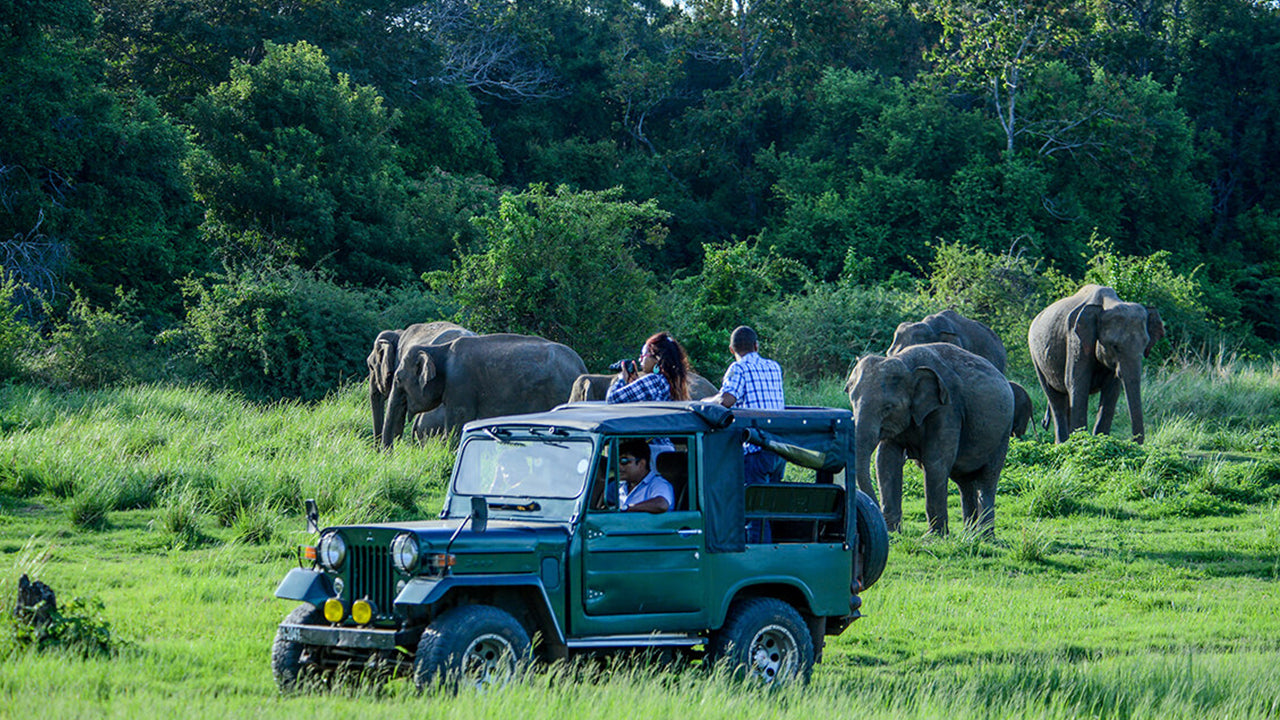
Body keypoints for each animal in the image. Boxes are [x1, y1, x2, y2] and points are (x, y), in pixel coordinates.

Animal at [373, 333, 586, 445]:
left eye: (398, 379)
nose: (388, 456)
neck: (440, 350)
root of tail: (580, 366)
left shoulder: (460, 386)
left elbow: (456, 426)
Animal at [844, 343, 1013, 538]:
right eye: (852, 400)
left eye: (888, 407)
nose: (875, 510)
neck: (906, 362)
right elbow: (886, 461)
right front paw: (893, 532)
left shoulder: (947, 408)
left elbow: (935, 463)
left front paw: (934, 537)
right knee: (964, 482)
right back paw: (969, 535)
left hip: (1003, 434)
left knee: (987, 480)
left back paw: (984, 537)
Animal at [1024, 281, 1167, 440]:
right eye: (1114, 346)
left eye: (1145, 344)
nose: (1135, 442)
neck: (1108, 303)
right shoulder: (1077, 339)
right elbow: (1077, 383)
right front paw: (1082, 440)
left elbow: (1112, 389)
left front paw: (1100, 439)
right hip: (1036, 356)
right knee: (1055, 398)